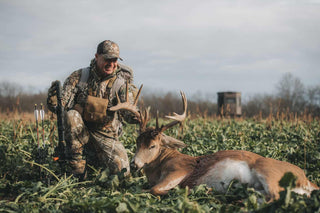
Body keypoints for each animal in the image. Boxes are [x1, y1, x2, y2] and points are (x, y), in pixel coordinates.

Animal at [109, 84, 318, 200]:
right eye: (137, 142)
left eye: (153, 145)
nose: (134, 164)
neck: (161, 164)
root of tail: (307, 181)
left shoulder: (181, 169)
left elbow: (154, 188)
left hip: (269, 172)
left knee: (275, 196)